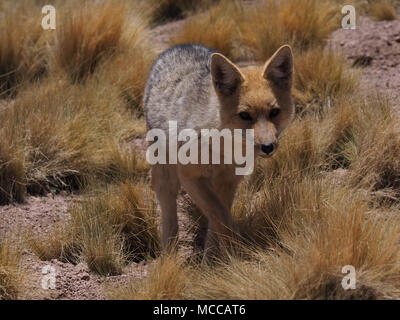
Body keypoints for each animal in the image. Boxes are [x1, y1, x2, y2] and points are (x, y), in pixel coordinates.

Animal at [144, 43, 294, 258]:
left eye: (274, 112)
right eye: (244, 115)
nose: (267, 147)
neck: (224, 149)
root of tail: (181, 45)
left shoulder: (229, 181)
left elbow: (219, 219)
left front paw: (215, 258)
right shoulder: (190, 177)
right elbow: (220, 215)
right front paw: (236, 252)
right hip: (167, 178)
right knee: (169, 213)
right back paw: (169, 255)